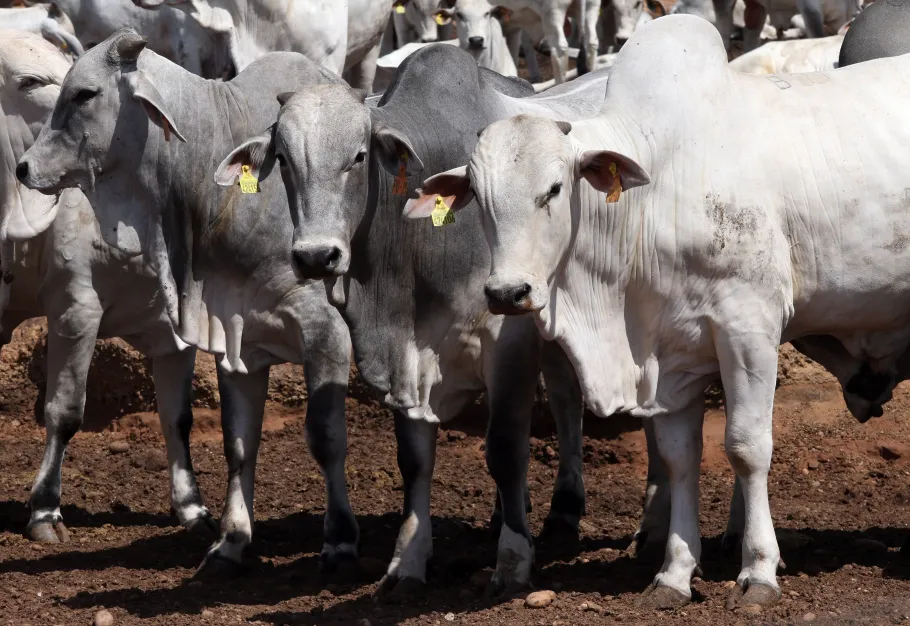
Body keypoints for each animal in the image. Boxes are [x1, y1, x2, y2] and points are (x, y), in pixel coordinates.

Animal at [16, 29, 356, 576]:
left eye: (85, 94)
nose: (24, 167)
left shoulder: (327, 332)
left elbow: (325, 437)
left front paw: (340, 541)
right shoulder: (230, 336)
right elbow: (236, 442)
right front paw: (230, 538)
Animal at [214, 46, 612, 592]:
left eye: (359, 156)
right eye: (285, 160)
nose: (316, 256)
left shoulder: (509, 337)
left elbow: (507, 447)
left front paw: (513, 559)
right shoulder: (404, 352)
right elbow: (414, 458)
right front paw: (408, 559)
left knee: (566, 397)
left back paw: (563, 510)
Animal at [412, 14, 910, 608]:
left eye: (553, 189)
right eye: (479, 199)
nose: (507, 293)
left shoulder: (748, 327)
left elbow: (747, 447)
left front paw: (759, 570)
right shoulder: (669, 351)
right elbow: (678, 459)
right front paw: (674, 573)